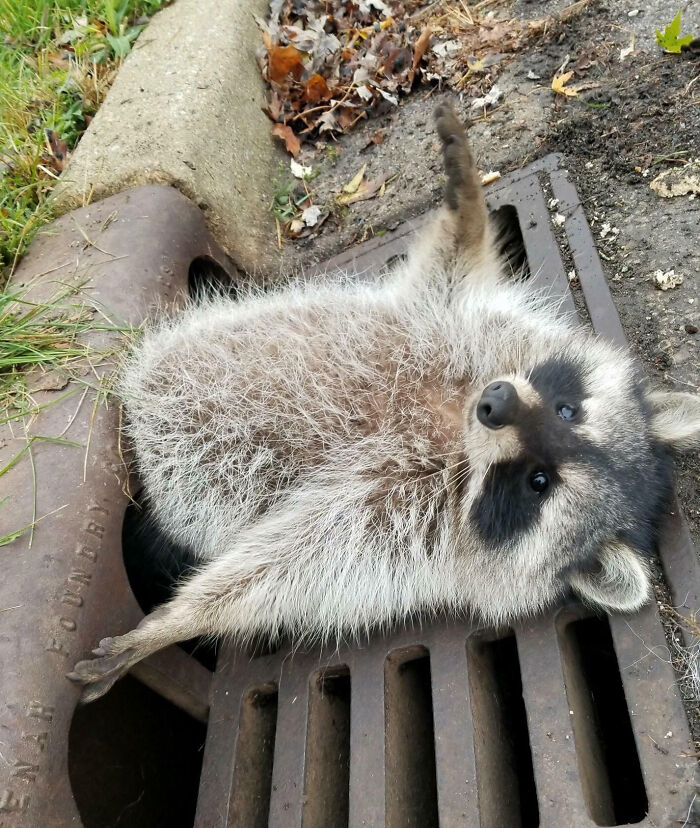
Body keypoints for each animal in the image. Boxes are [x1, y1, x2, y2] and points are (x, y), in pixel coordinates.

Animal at [69, 100, 700, 700]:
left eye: (538, 482)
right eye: (569, 411)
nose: (496, 403)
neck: (456, 423)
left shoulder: (395, 530)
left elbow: (283, 566)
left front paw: (174, 621)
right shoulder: (456, 323)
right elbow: (450, 268)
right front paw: (467, 198)